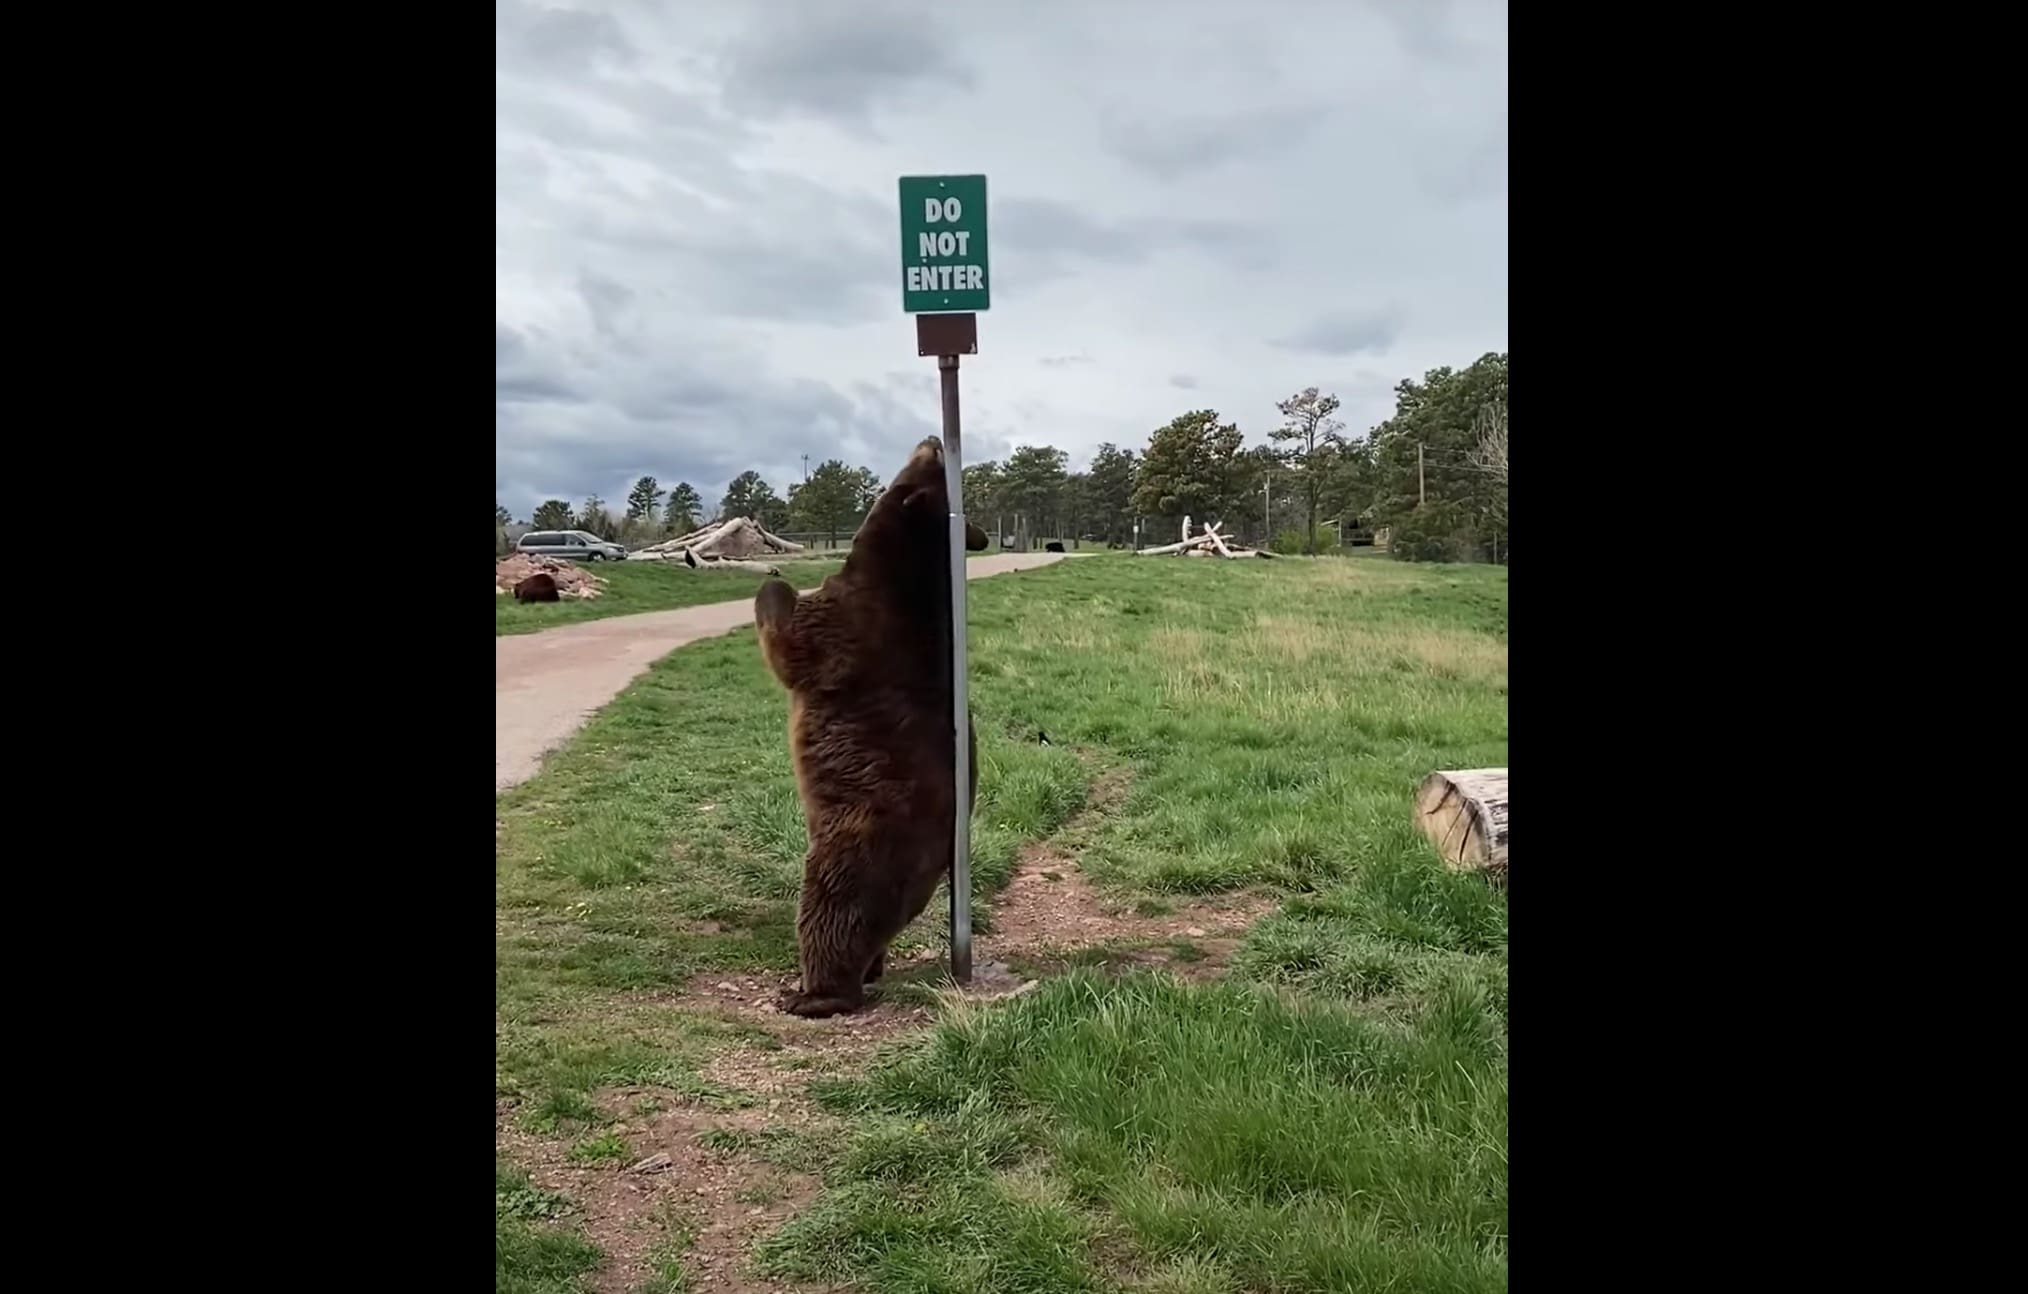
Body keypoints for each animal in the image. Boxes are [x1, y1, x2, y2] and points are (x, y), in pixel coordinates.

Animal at [753, 437, 990, 1017]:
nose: (933, 439)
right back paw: (871, 970)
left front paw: (773, 583)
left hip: (858, 848)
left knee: (831, 916)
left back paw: (813, 994)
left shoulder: (849, 625)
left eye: (925, 464)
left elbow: (791, 640)